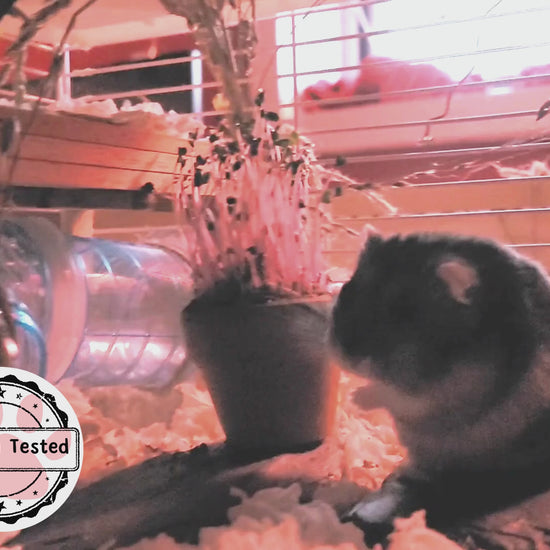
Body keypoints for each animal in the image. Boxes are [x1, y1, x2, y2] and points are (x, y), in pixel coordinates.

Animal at [332, 233, 550, 544]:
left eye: (403, 310)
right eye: (347, 290)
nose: (347, 355)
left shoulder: (449, 392)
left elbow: (397, 396)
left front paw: (355, 398)